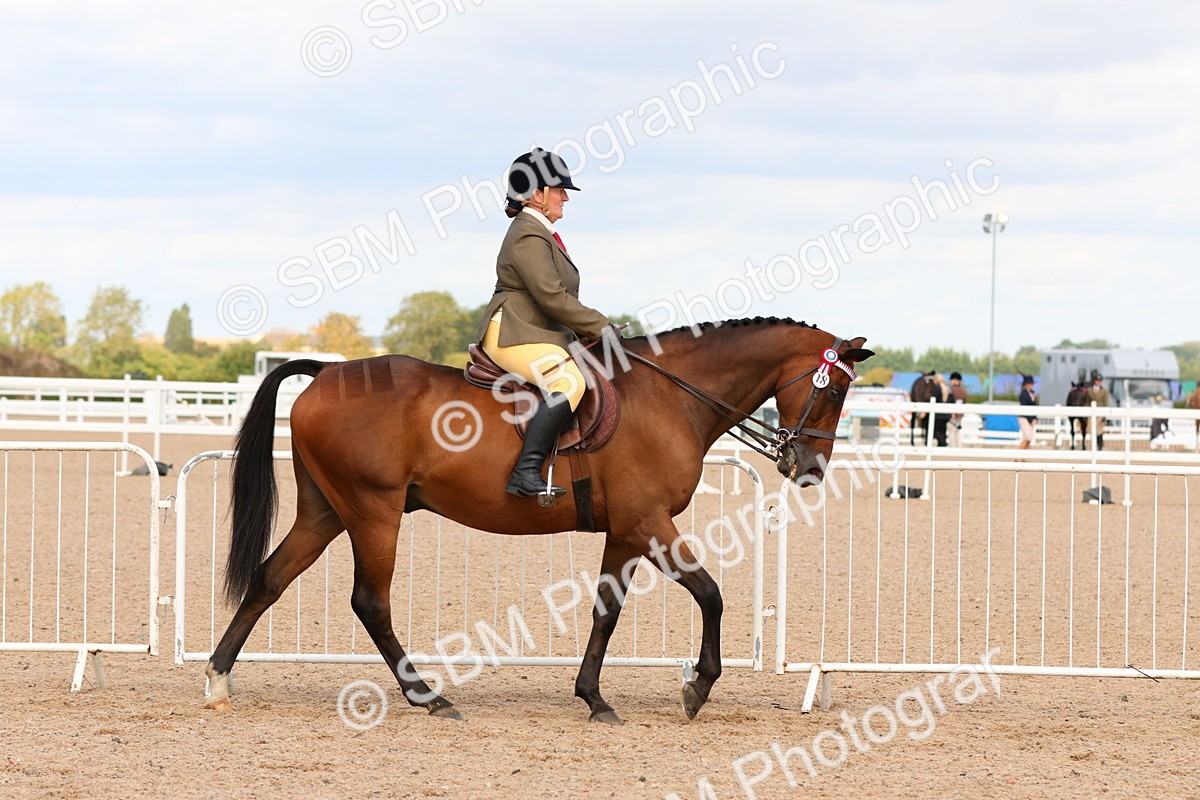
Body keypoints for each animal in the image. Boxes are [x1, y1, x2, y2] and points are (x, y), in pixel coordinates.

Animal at [204, 317, 872, 725]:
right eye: (835, 393)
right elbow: (710, 593)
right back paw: (429, 696)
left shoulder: (625, 532)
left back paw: (217, 680)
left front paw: (594, 698)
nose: (810, 469)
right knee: (370, 601)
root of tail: (328, 372)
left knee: (269, 578)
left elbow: (606, 610)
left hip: (326, 512)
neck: (671, 398)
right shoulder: (649, 523)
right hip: (373, 512)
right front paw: (698, 687)